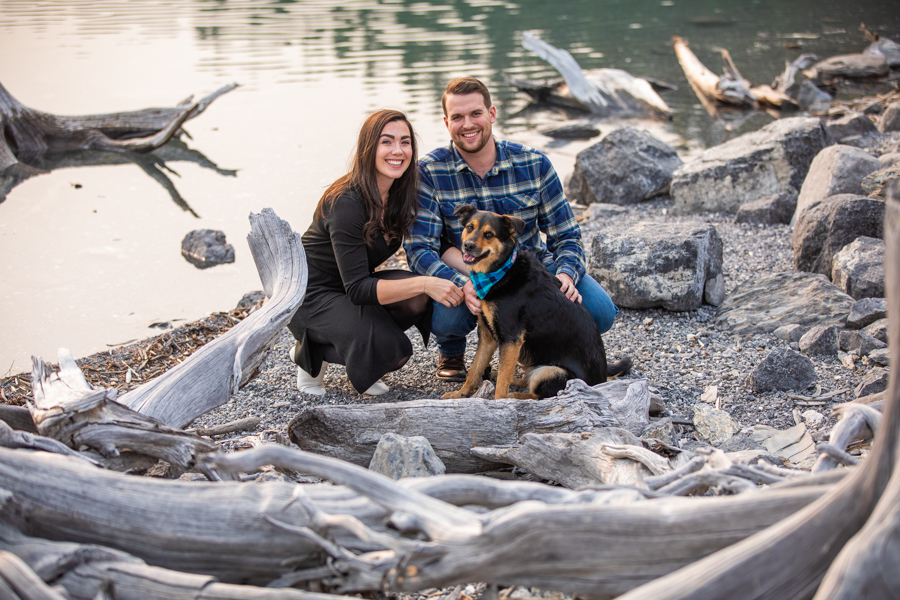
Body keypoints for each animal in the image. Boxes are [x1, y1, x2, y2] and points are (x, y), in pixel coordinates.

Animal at [442, 204, 624, 400]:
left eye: (489, 234)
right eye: (469, 227)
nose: (468, 246)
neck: (502, 271)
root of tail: (601, 381)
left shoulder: (511, 339)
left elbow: (500, 388)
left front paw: (499, 403)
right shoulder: (488, 335)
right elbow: (475, 370)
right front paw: (459, 394)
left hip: (548, 371)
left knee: (540, 394)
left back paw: (513, 396)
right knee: (524, 379)